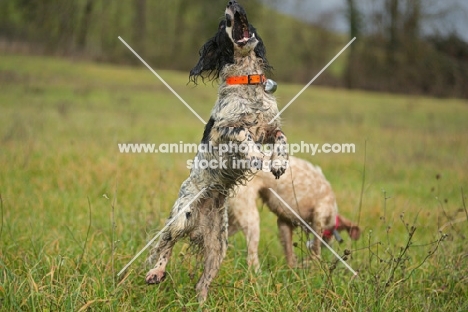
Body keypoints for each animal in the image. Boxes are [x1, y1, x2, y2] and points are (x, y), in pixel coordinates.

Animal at [144, 0, 288, 302]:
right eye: (223, 25)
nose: (233, 3)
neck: (247, 80)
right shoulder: (225, 128)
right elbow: (244, 136)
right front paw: (258, 158)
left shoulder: (270, 129)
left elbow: (282, 139)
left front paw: (279, 163)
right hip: (181, 218)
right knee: (164, 244)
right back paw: (155, 272)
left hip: (218, 247)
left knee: (202, 283)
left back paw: (200, 303)